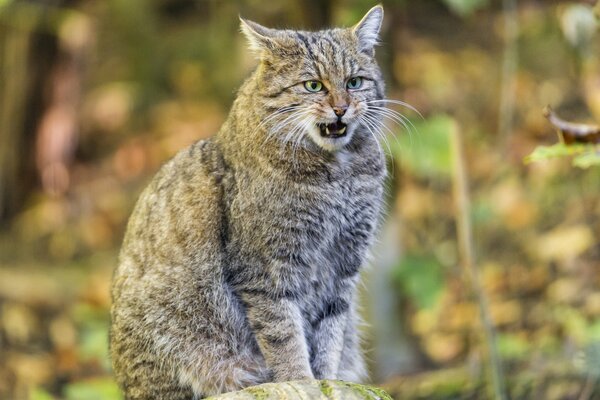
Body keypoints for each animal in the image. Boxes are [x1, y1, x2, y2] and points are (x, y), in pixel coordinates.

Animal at [111, 6, 390, 400]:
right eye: (313, 85)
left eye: (354, 82)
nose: (341, 108)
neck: (338, 173)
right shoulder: (266, 270)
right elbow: (285, 334)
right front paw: (301, 380)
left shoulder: (343, 266)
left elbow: (331, 331)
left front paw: (327, 379)